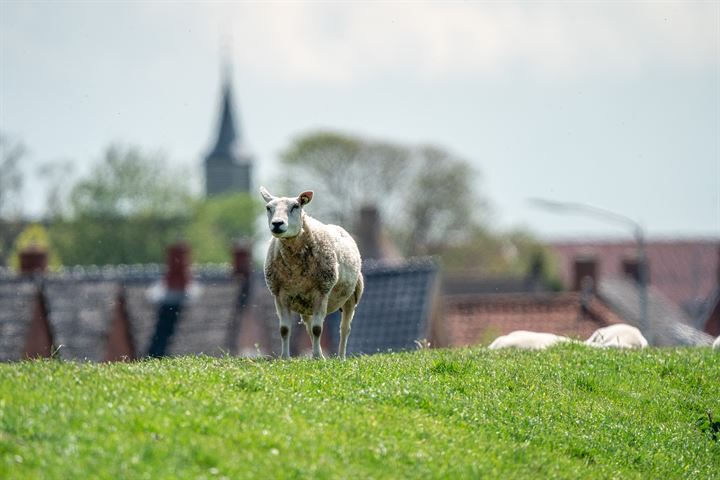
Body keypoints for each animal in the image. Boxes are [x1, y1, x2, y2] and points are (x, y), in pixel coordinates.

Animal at [258, 186, 362, 358]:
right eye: (268, 207)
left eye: (296, 206)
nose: (277, 223)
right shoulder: (280, 295)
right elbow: (284, 330)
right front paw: (285, 357)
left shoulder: (322, 291)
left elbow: (318, 329)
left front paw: (317, 357)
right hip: (304, 302)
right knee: (308, 326)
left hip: (351, 297)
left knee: (344, 329)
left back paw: (340, 357)